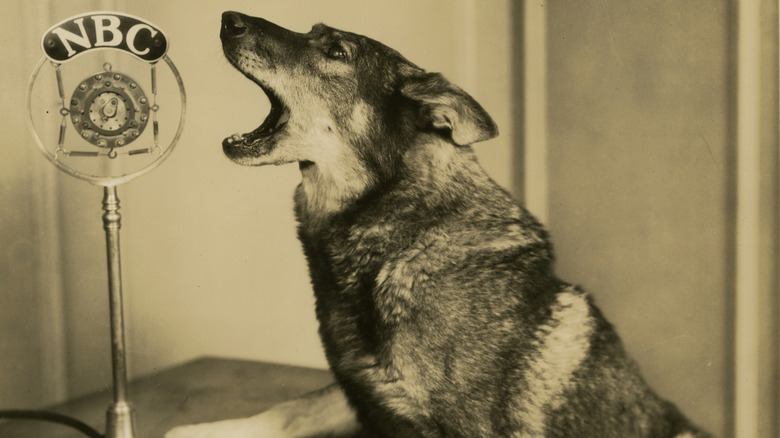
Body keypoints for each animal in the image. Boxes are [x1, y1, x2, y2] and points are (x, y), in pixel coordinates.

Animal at [166, 11, 712, 438]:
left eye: (337, 51)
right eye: (312, 31)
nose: (228, 19)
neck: (399, 232)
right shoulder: (359, 396)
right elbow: (289, 409)